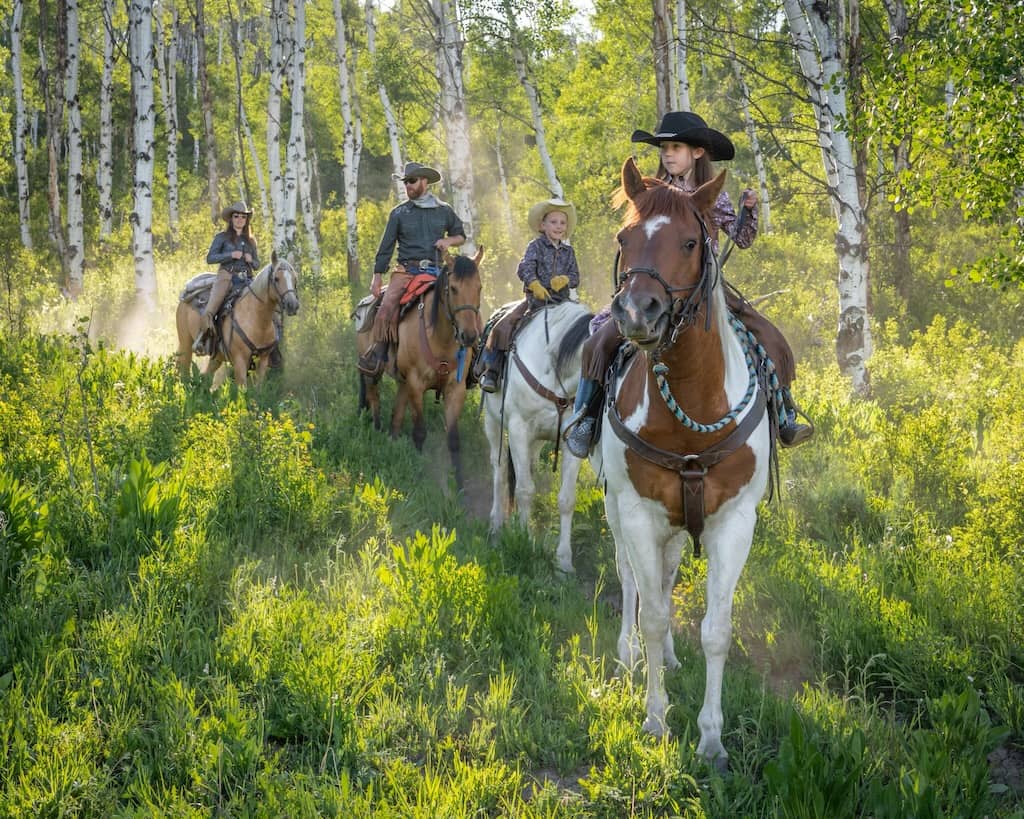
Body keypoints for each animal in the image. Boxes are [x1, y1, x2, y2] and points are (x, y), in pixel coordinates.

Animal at [173, 255, 296, 386]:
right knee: (185, 374)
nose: (293, 305)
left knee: (205, 377)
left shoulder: (263, 360)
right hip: (186, 343)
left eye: (294, 278)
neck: (256, 319)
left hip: (217, 356)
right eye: (276, 279)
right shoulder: (239, 361)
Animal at [356, 249, 483, 489]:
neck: (439, 338)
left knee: (396, 413)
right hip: (372, 370)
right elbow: (420, 431)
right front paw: (419, 472)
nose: (469, 336)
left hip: (402, 381)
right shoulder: (416, 384)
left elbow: (453, 439)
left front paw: (459, 485)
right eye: (453, 288)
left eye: (479, 287)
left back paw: (392, 439)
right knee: (373, 396)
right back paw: (376, 430)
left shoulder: (455, 390)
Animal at [483, 296, 598, 573]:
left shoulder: (571, 440)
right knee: (499, 471)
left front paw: (564, 561)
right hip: (492, 422)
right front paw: (525, 541)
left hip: (535, 442)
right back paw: (496, 523)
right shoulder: (517, 429)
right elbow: (525, 490)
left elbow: (566, 499)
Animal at [598, 156, 770, 769]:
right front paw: (655, 720)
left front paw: (712, 740)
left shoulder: (734, 523)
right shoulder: (637, 514)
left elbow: (715, 629)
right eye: (624, 238)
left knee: (668, 577)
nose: (636, 312)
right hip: (619, 513)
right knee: (632, 582)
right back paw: (627, 658)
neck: (691, 408)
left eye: (692, 241)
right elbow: (650, 613)